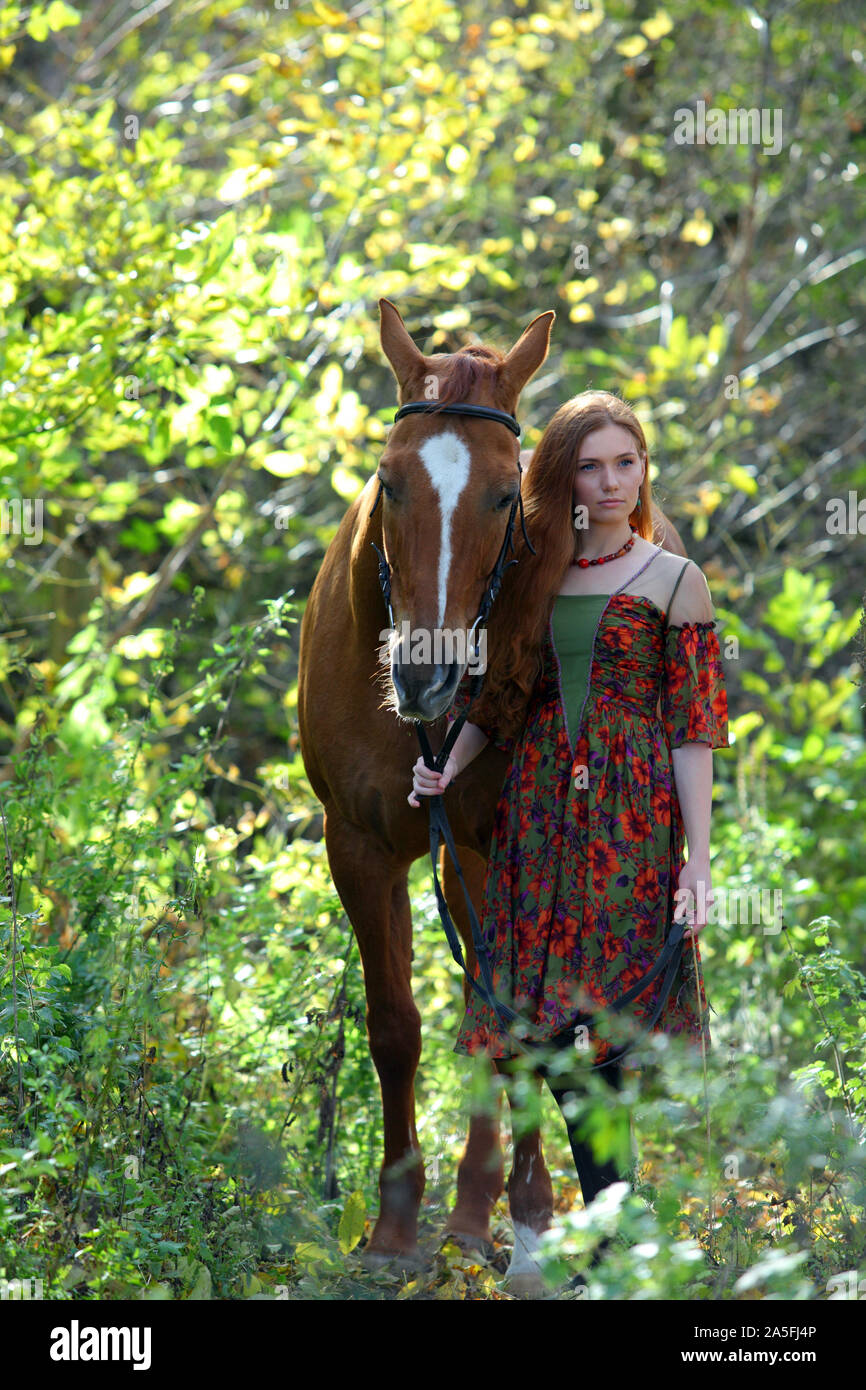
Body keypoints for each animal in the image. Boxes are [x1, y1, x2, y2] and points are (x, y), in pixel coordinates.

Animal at [294, 301, 686, 1278]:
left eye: (508, 495)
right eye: (389, 481)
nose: (427, 677)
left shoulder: (502, 850)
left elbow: (504, 1036)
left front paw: (495, 1219)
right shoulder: (357, 847)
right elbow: (394, 1027)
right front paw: (394, 1229)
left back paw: (520, 1213)